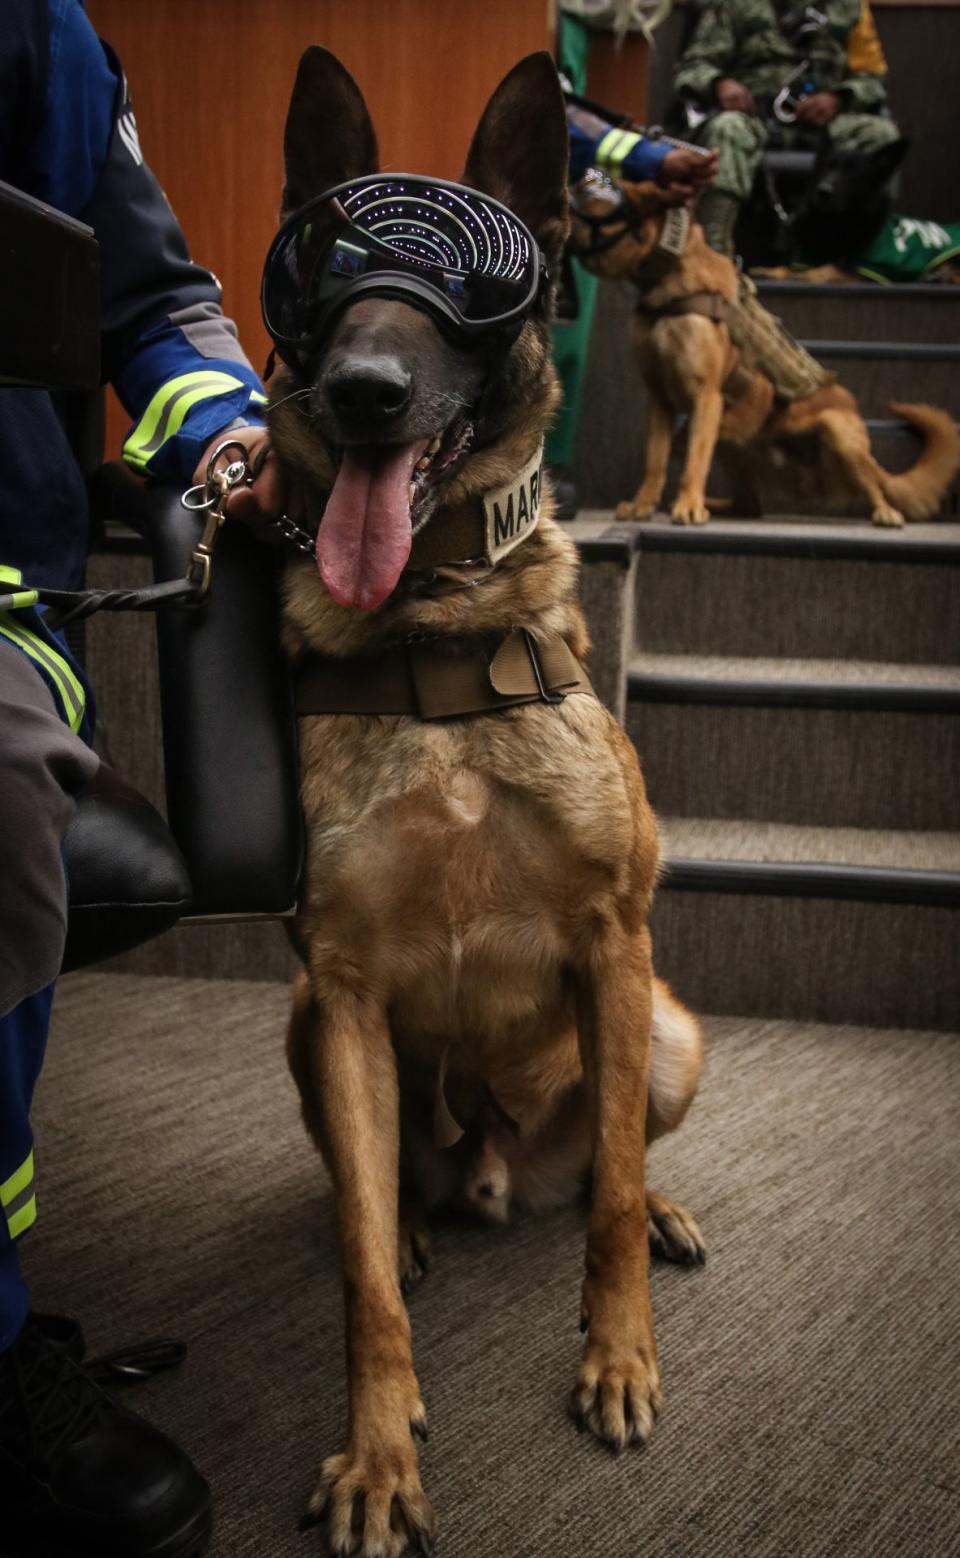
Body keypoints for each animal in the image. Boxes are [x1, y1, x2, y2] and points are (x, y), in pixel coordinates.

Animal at [269, 48, 704, 1558]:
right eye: (327, 275)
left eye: (470, 285)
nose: (363, 389)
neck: (434, 633)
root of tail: (496, 1163)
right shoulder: (340, 986)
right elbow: (355, 1277)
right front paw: (378, 1452)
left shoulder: (615, 943)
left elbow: (612, 1197)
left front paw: (619, 1359)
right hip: (308, 1034)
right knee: (381, 1190)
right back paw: (409, 1216)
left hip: (668, 1031)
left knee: (611, 1162)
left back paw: (662, 1209)